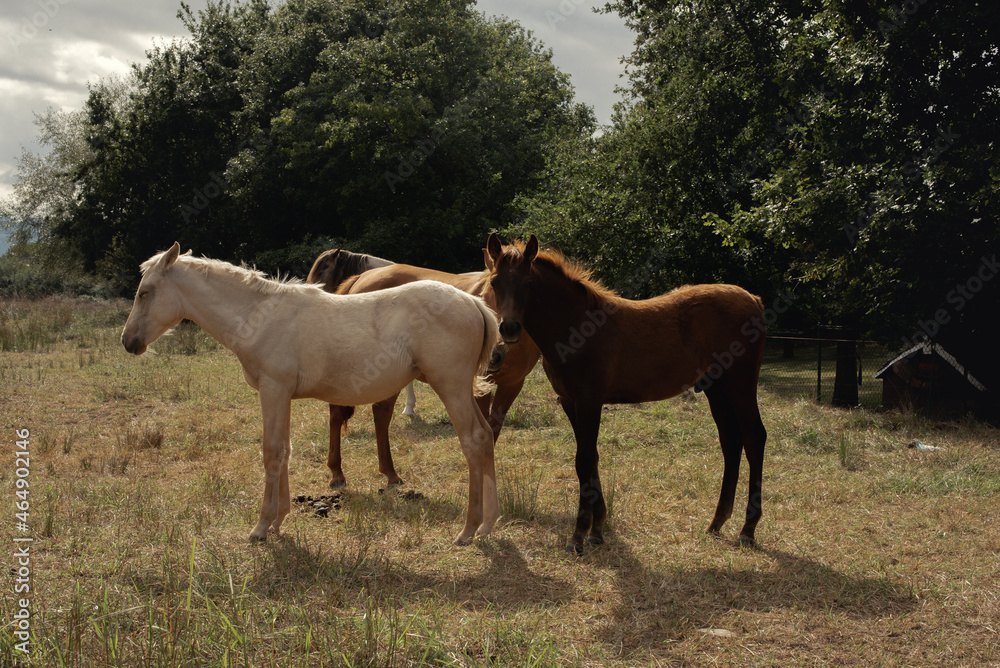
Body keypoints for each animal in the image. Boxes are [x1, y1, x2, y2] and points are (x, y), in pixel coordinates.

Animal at [121, 242, 500, 545]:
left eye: (145, 292)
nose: (128, 341)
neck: (259, 317)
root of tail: (473, 303)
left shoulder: (273, 389)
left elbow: (272, 452)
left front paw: (261, 527)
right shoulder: (282, 394)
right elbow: (285, 450)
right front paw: (278, 522)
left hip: (450, 386)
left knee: (472, 440)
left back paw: (468, 530)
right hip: (461, 390)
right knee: (486, 435)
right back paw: (487, 527)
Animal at [306, 248, 541, 489]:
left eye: (322, 270)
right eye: (492, 286)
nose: (499, 350)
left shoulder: (511, 384)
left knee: (372, 414)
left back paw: (379, 472)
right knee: (350, 414)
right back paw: (344, 472)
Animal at [485, 233, 768, 553]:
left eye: (529, 283)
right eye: (495, 282)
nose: (508, 329)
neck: (577, 325)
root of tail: (753, 299)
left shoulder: (589, 401)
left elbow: (584, 460)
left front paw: (578, 536)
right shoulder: (570, 402)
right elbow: (591, 458)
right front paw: (597, 530)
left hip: (741, 385)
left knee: (754, 438)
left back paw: (748, 529)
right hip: (716, 389)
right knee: (731, 442)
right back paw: (717, 522)